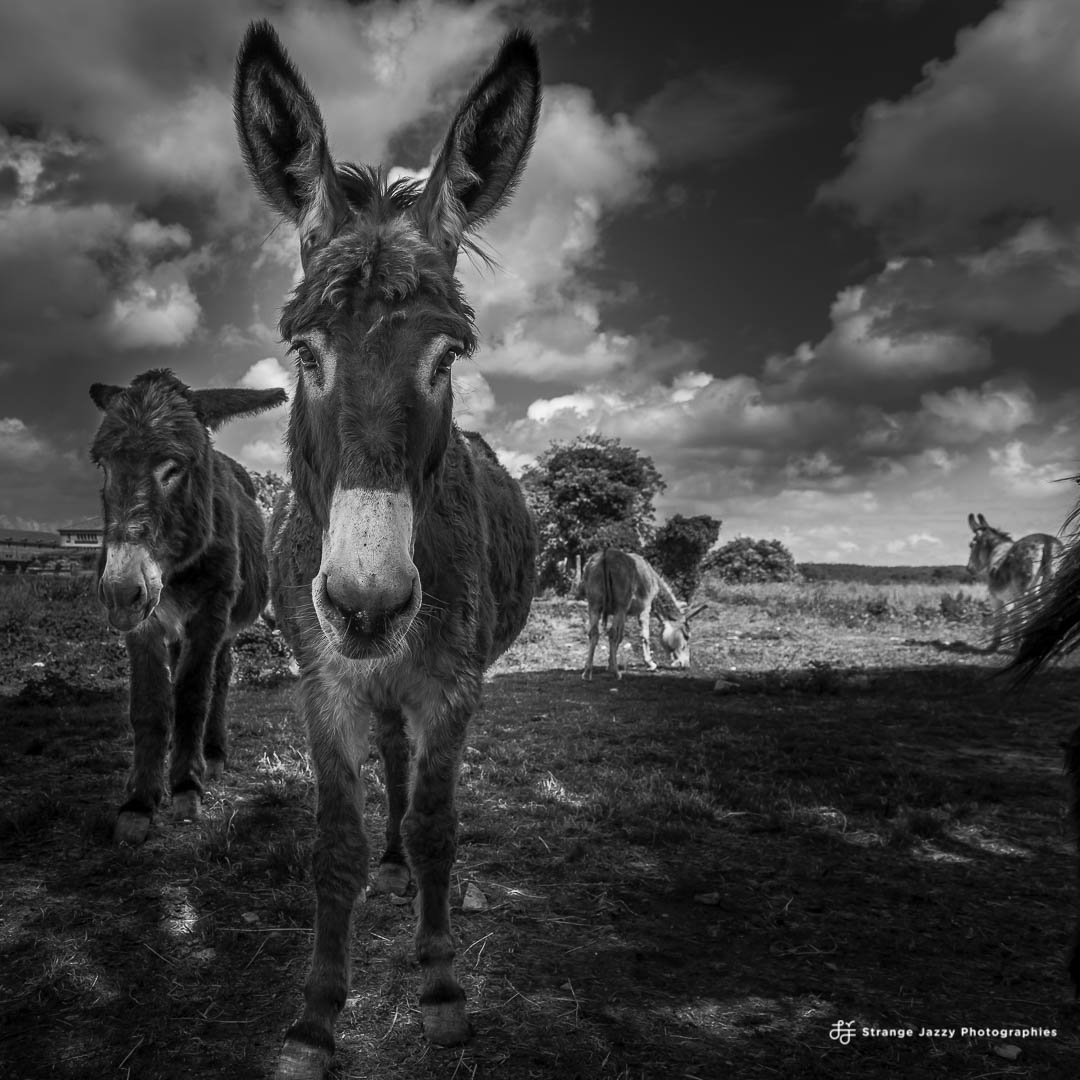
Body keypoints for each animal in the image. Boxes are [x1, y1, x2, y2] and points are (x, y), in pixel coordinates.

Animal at [89, 368, 286, 845]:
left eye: (173, 468)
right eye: (103, 465)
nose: (120, 590)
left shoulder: (210, 612)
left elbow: (194, 694)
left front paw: (185, 786)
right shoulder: (144, 622)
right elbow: (151, 704)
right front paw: (139, 802)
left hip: (224, 621)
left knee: (220, 676)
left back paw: (211, 755)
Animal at [233, 20, 539, 1075]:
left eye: (446, 357)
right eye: (304, 351)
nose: (367, 603)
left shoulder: (451, 682)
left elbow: (442, 827)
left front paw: (441, 985)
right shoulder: (325, 685)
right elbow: (334, 846)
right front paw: (315, 1017)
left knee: (412, 791)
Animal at [579, 548, 707, 679]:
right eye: (687, 636)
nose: (686, 664)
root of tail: (606, 555)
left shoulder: (624, 613)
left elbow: (620, 637)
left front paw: (609, 665)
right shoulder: (645, 608)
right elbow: (644, 635)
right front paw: (650, 663)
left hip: (594, 605)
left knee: (594, 633)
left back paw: (587, 672)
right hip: (619, 605)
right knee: (612, 633)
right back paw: (616, 672)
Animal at [966, 512, 1062, 651]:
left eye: (971, 545)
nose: (968, 569)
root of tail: (1047, 541)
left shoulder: (995, 598)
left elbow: (1000, 620)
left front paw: (995, 645)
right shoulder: (1011, 599)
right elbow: (1013, 618)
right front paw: (1014, 642)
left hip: (1027, 591)